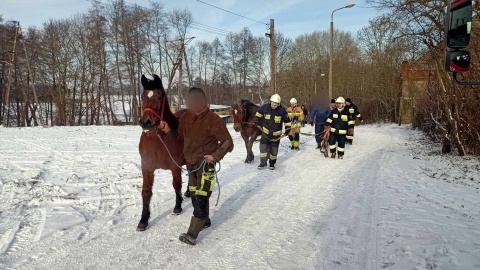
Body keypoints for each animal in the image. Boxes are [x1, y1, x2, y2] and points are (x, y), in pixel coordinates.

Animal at [139, 74, 186, 232]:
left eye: (159, 97)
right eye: (142, 96)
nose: (145, 122)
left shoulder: (175, 166)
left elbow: (176, 185)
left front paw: (178, 207)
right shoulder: (147, 167)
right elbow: (146, 191)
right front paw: (143, 220)